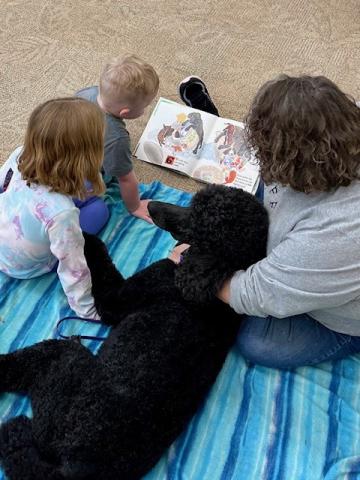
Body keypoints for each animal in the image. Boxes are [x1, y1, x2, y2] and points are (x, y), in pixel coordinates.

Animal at [0, 184, 268, 480]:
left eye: (194, 218)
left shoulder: (116, 299)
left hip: (63, 363)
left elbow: (99, 256)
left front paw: (85, 234)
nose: (151, 207)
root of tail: (75, 467)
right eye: (192, 202)